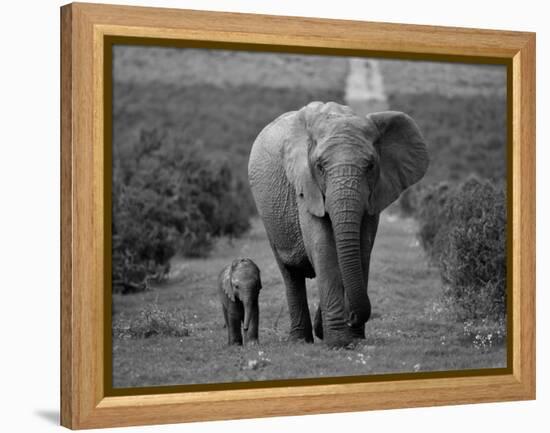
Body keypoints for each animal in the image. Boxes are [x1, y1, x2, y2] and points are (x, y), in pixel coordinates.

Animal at [248, 102, 430, 348]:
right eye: (320, 167)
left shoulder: (374, 194)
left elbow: (362, 248)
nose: (351, 316)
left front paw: (353, 337)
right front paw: (338, 342)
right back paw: (300, 340)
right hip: (268, 217)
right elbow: (323, 247)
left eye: (370, 166)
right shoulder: (306, 187)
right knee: (290, 273)